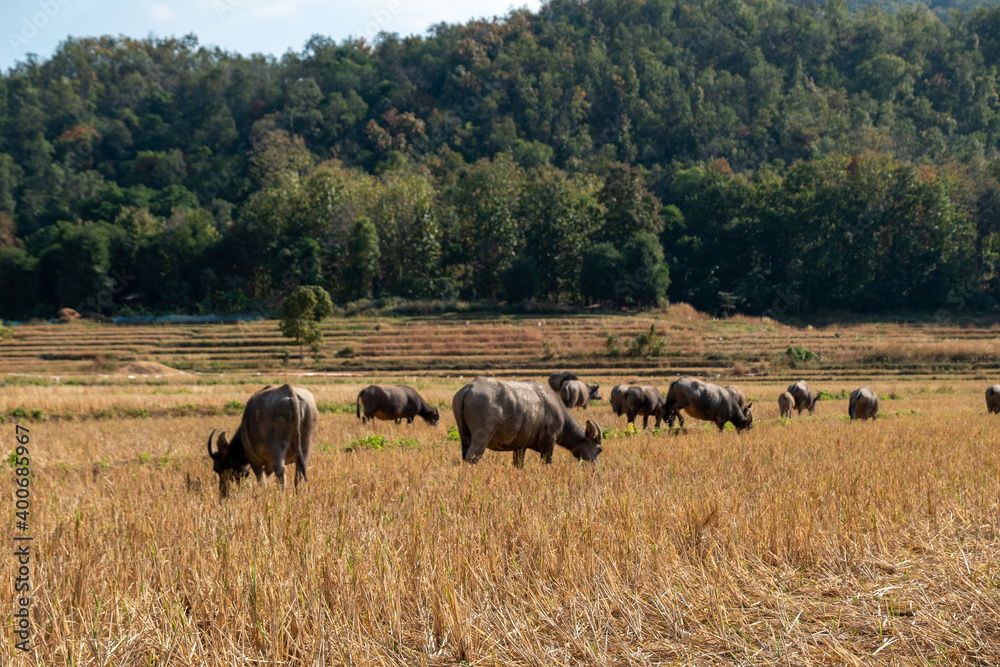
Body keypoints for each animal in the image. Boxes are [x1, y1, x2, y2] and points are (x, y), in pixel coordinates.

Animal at [452, 378, 600, 468]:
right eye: (600, 449)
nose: (597, 467)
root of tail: (470, 387)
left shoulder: (520, 447)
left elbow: (519, 464)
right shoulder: (549, 441)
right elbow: (547, 462)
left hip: (464, 434)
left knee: (464, 455)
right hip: (480, 439)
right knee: (472, 457)